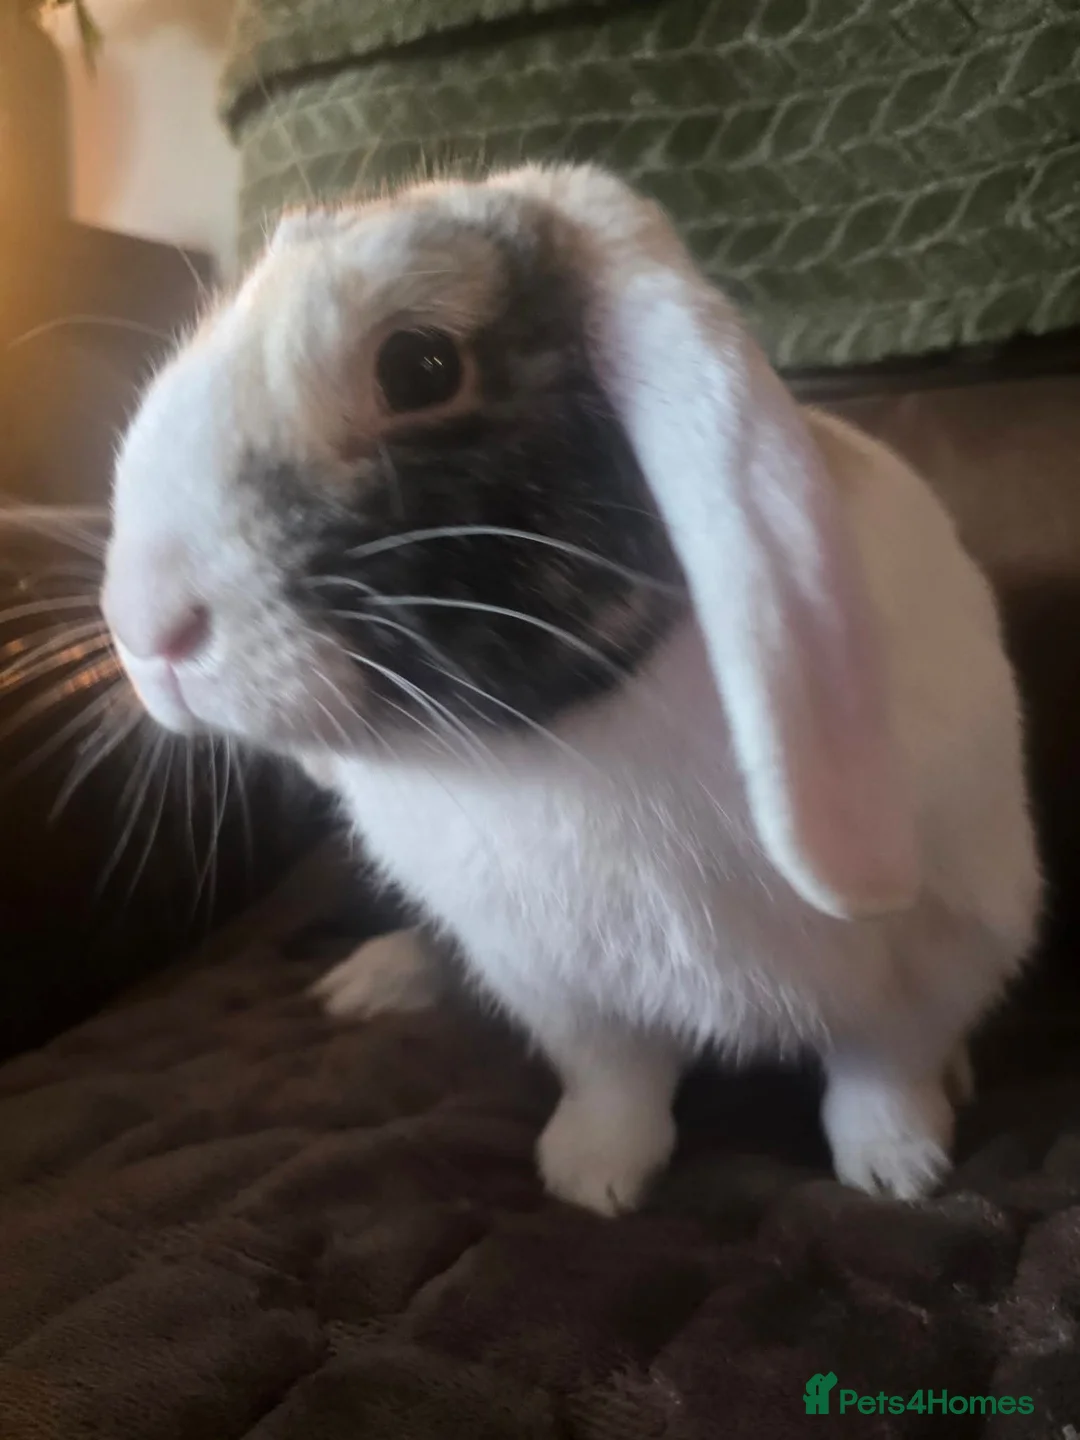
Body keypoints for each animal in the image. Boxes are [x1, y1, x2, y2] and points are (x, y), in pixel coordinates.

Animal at [101, 163, 1041, 1215]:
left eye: (419, 367)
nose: (143, 629)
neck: (549, 738)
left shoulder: (935, 958)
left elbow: (879, 1074)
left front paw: (898, 1174)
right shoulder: (561, 989)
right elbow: (615, 1080)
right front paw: (593, 1180)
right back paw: (371, 983)